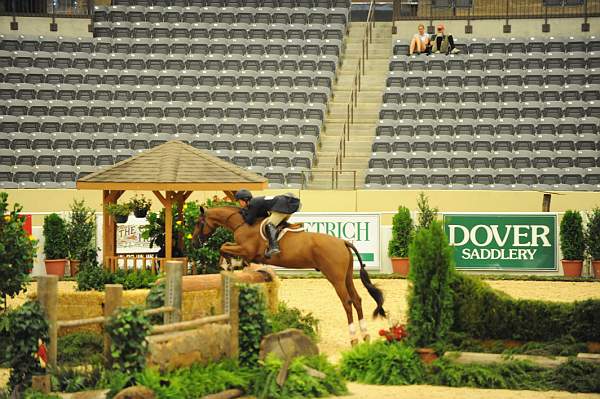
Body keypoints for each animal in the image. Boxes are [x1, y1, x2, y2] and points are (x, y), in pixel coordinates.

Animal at [195, 206, 386, 344]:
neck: (243, 223)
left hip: (335, 278)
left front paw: (227, 263)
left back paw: (353, 338)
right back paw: (365, 334)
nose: (195, 242)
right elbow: (227, 247)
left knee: (347, 302)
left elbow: (224, 246)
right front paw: (230, 264)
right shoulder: (246, 252)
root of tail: (343, 242)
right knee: (357, 299)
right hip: (346, 277)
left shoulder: (246, 250)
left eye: (198, 222)